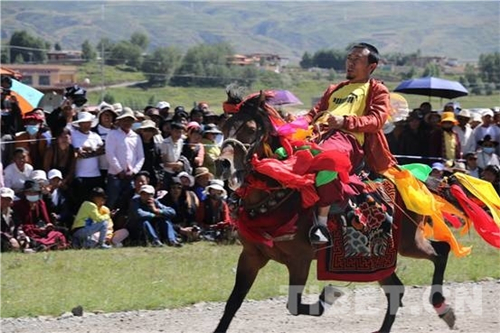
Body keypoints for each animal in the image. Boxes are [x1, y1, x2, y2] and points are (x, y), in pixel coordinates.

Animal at [213, 91, 456, 332]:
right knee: (396, 288)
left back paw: (442, 307)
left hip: (408, 241)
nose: (222, 164)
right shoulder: (251, 256)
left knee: (441, 251)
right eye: (224, 127)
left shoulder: (299, 260)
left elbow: (294, 305)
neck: (280, 192)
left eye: (250, 129)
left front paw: (330, 294)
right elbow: (232, 303)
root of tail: (415, 179)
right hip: (382, 257)